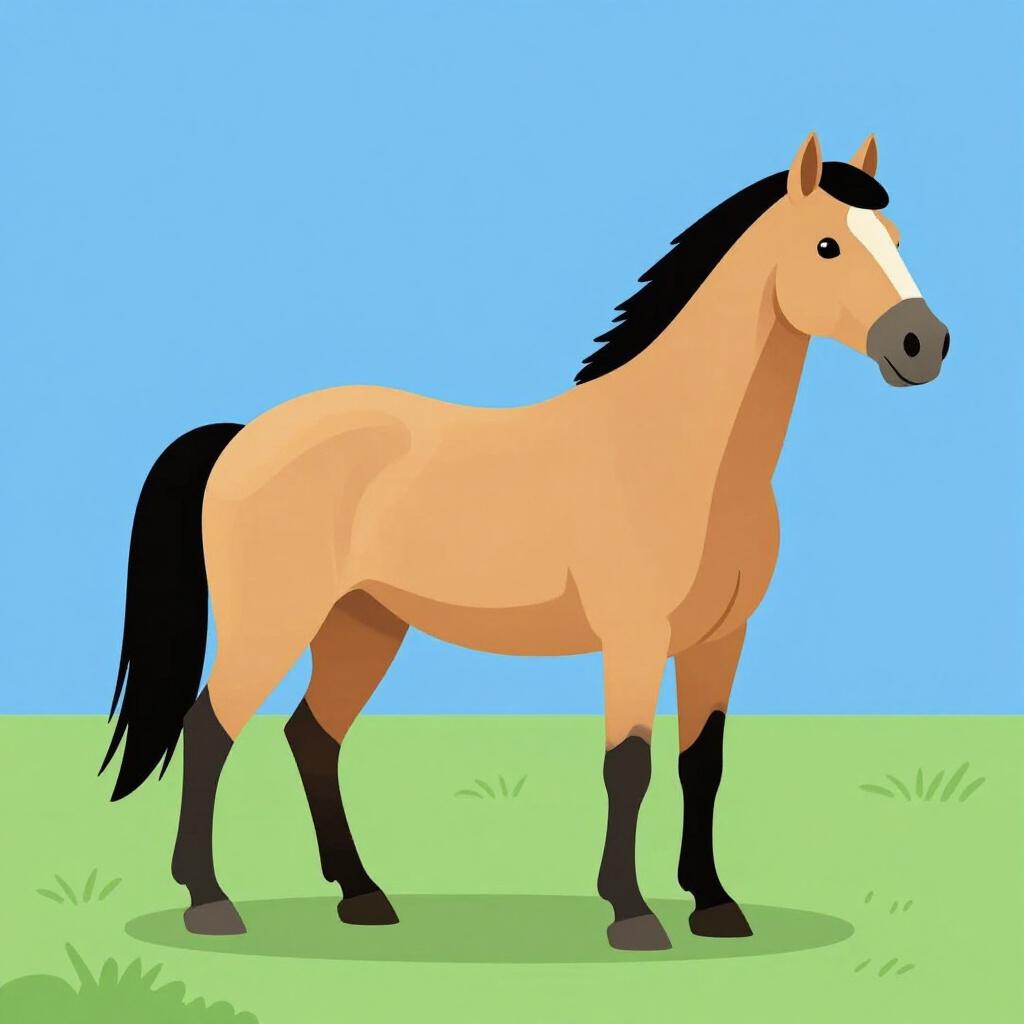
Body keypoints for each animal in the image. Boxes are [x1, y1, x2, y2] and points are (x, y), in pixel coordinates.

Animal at [101, 132, 949, 951]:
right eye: (827, 246)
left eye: (897, 237)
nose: (922, 343)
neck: (681, 452)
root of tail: (243, 436)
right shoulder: (635, 638)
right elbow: (629, 766)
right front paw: (632, 915)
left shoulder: (720, 638)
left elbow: (700, 764)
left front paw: (714, 904)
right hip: (274, 622)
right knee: (210, 729)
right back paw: (210, 903)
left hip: (362, 625)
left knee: (312, 736)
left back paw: (362, 895)